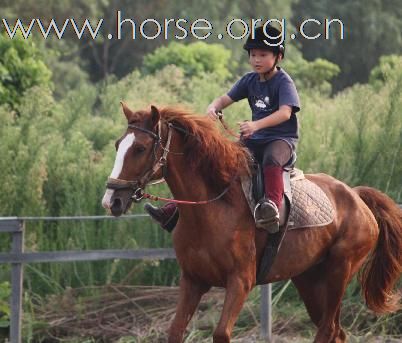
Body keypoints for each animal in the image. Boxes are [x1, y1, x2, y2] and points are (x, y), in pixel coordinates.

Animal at [102, 104, 400, 343]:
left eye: (140, 148)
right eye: (118, 145)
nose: (111, 200)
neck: (212, 207)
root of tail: (356, 197)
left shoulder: (240, 282)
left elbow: (221, 333)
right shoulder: (192, 281)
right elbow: (175, 332)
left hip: (339, 273)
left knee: (327, 329)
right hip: (309, 280)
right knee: (336, 331)